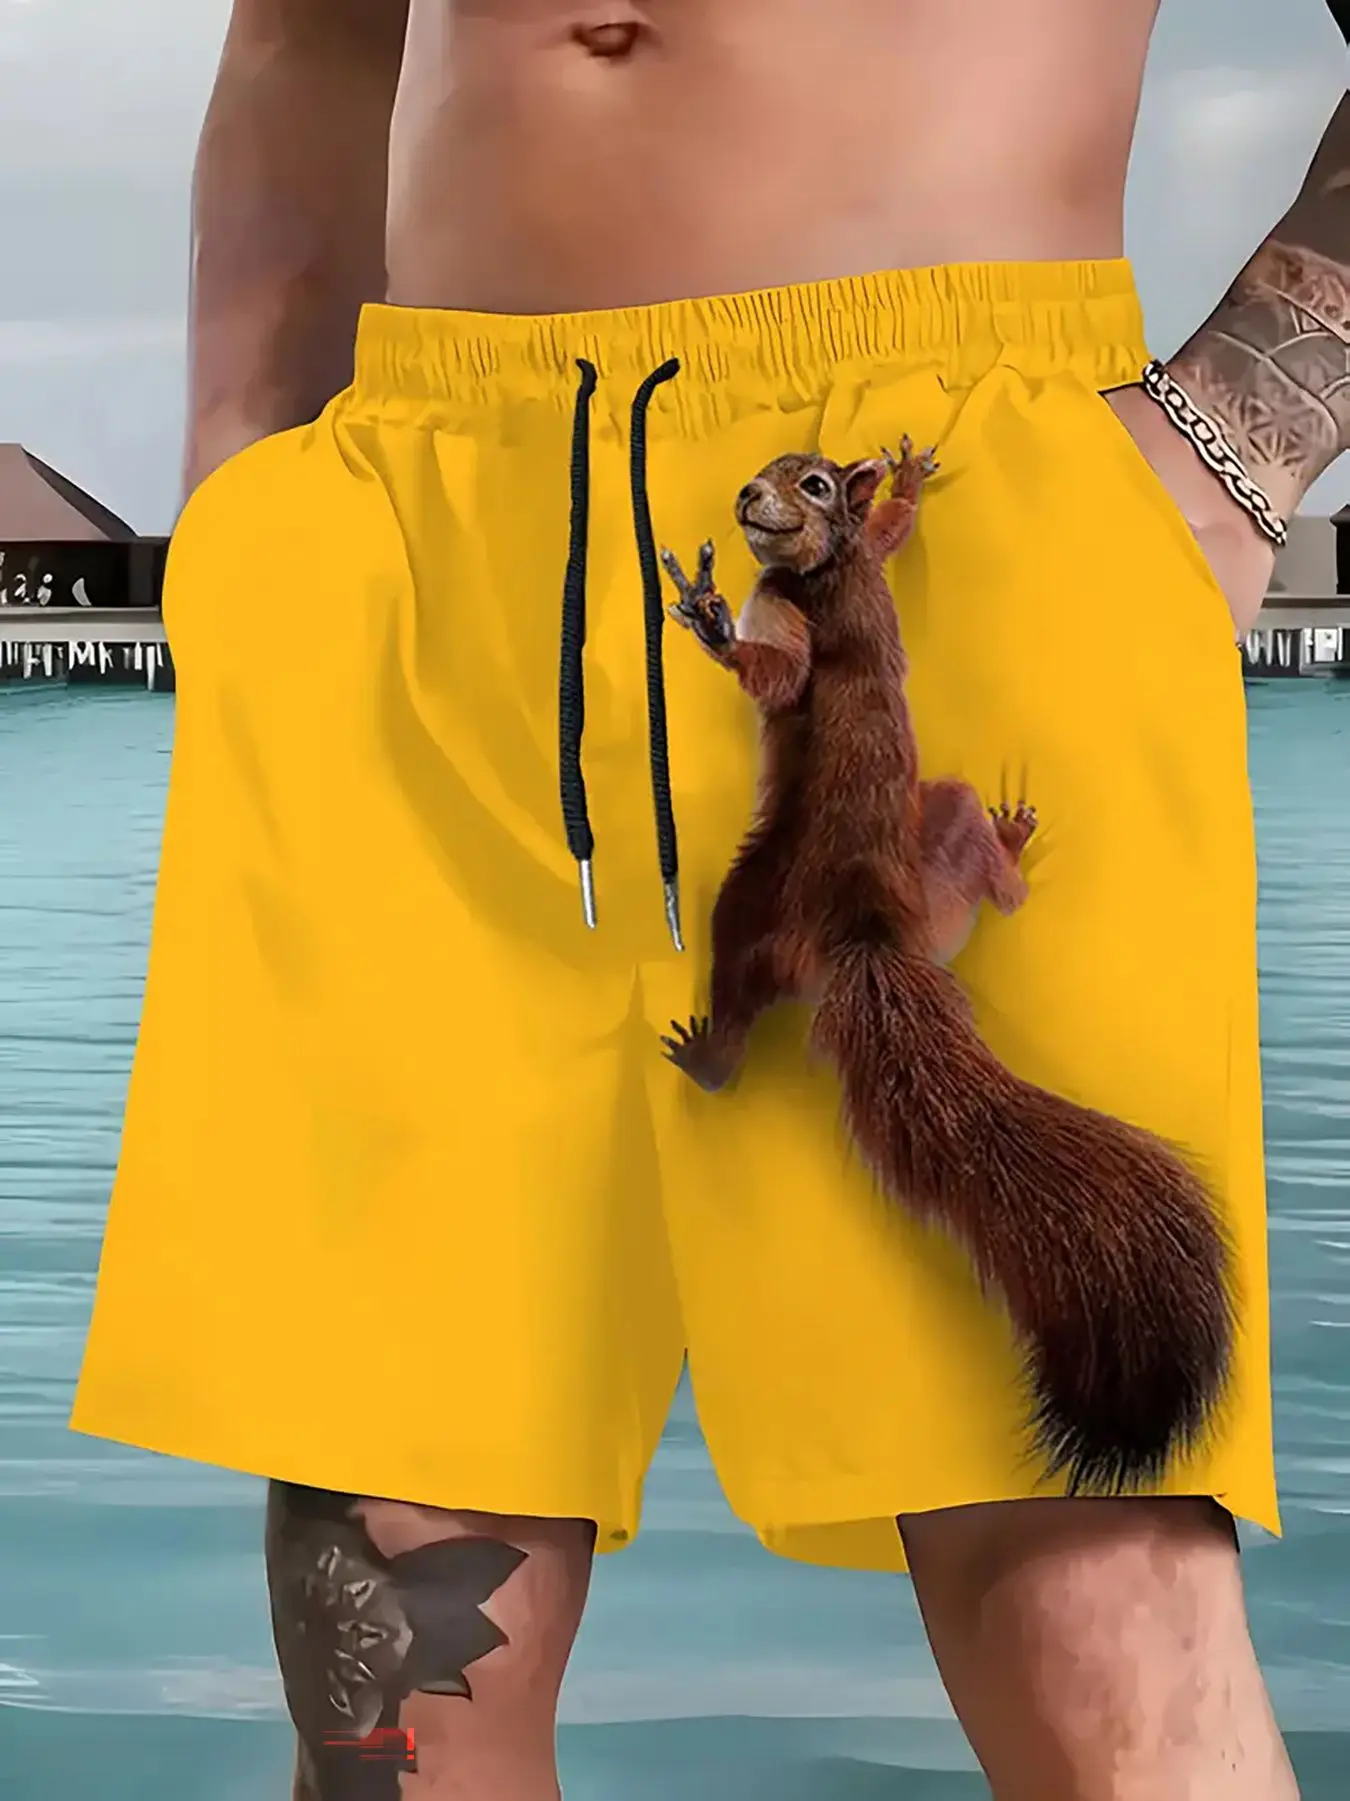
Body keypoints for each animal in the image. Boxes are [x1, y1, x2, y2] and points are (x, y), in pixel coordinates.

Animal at [657, 439, 1235, 1497]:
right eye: (773, 468)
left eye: (809, 484)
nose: (747, 496)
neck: (828, 568)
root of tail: (875, 933)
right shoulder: (866, 569)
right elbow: (897, 534)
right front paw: (906, 480)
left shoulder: (793, 613)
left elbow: (777, 674)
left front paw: (713, 620)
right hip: (945, 860)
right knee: (986, 869)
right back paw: (1009, 847)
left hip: (748, 903)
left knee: (737, 989)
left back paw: (708, 1055)